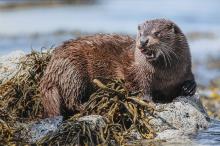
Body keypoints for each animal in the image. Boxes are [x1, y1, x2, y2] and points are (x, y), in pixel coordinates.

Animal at [39, 18, 196, 117]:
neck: (166, 76)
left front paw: (188, 88)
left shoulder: (185, 69)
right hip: (73, 72)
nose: (143, 41)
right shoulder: (139, 71)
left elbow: (190, 80)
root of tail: (51, 69)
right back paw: (87, 106)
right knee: (71, 98)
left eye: (157, 33)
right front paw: (147, 99)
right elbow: (140, 85)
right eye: (140, 33)